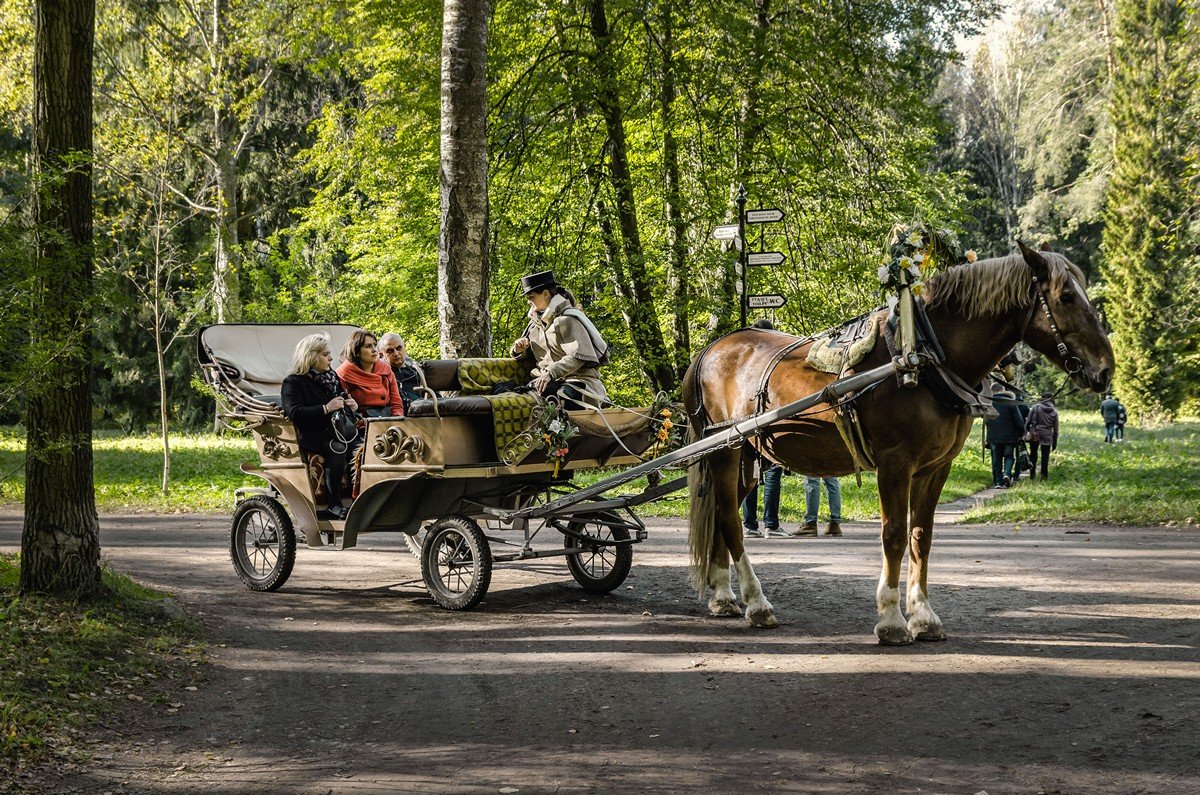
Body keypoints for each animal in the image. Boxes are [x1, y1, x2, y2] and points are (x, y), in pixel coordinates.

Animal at [686, 244, 1113, 648]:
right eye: (1066, 297)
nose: (1105, 370)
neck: (922, 357)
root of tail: (713, 347)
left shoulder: (935, 467)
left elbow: (920, 536)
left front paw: (923, 616)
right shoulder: (895, 462)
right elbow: (893, 535)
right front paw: (892, 620)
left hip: (747, 457)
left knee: (723, 514)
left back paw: (723, 596)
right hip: (723, 450)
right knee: (730, 520)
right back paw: (757, 603)